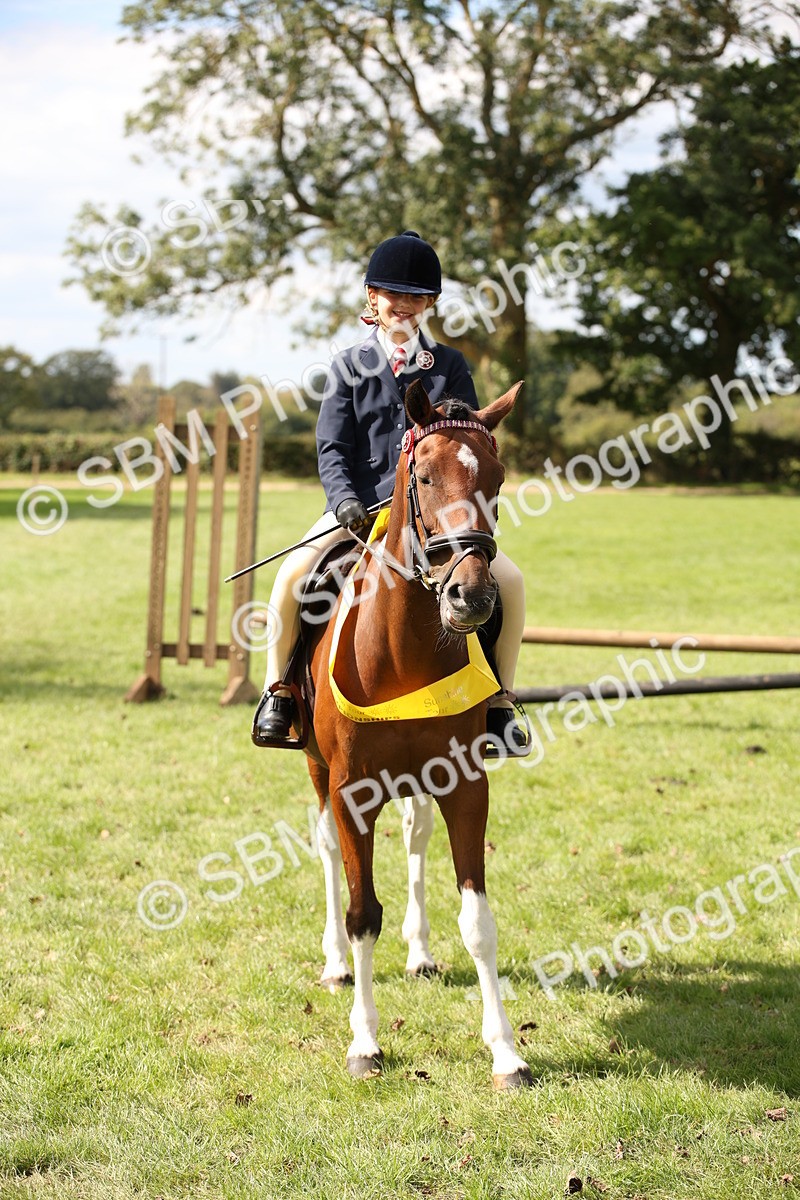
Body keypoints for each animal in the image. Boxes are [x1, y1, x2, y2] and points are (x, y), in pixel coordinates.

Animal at [301, 377, 533, 1091]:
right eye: (424, 476)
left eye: (497, 478)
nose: (471, 596)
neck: (404, 651)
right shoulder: (351, 794)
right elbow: (361, 916)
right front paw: (365, 1043)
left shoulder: (464, 785)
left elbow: (479, 919)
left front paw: (506, 1052)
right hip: (318, 772)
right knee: (326, 849)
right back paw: (333, 965)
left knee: (415, 838)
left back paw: (422, 951)